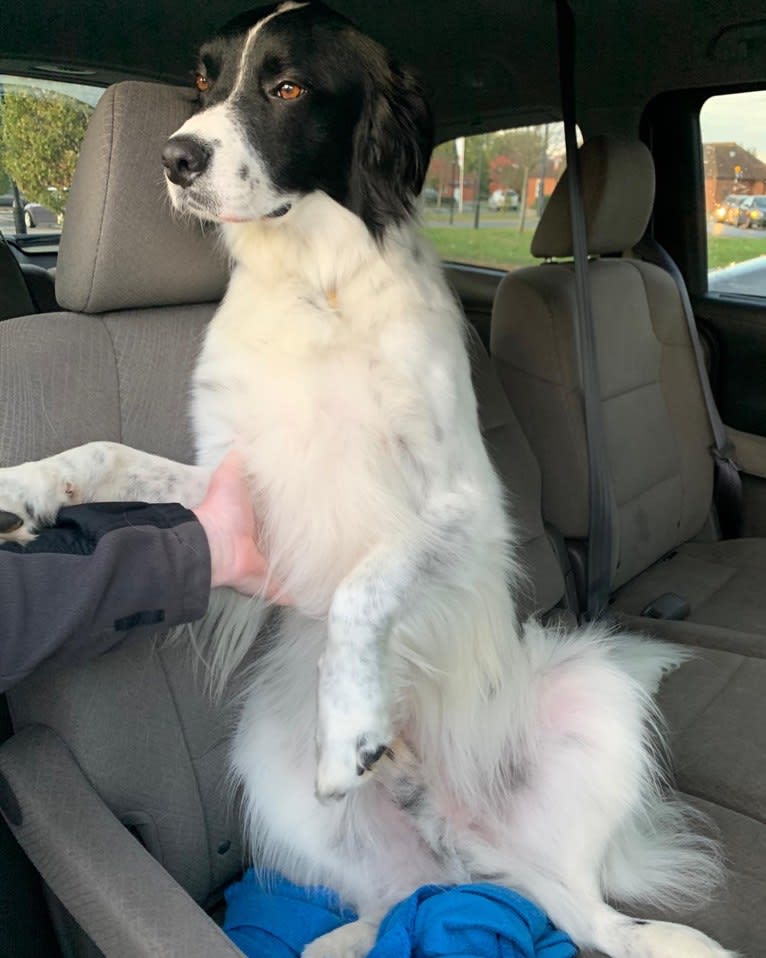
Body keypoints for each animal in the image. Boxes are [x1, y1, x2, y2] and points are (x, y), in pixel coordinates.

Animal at [0, 5, 736, 958]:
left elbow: (365, 583)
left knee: (593, 918)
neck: (318, 285)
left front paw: (351, 726)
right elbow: (101, 453)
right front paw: (21, 486)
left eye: (286, 87)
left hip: (597, 692)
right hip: (266, 762)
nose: (174, 158)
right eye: (204, 81)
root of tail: (479, 848)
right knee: (400, 896)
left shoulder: (460, 508)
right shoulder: (236, 486)